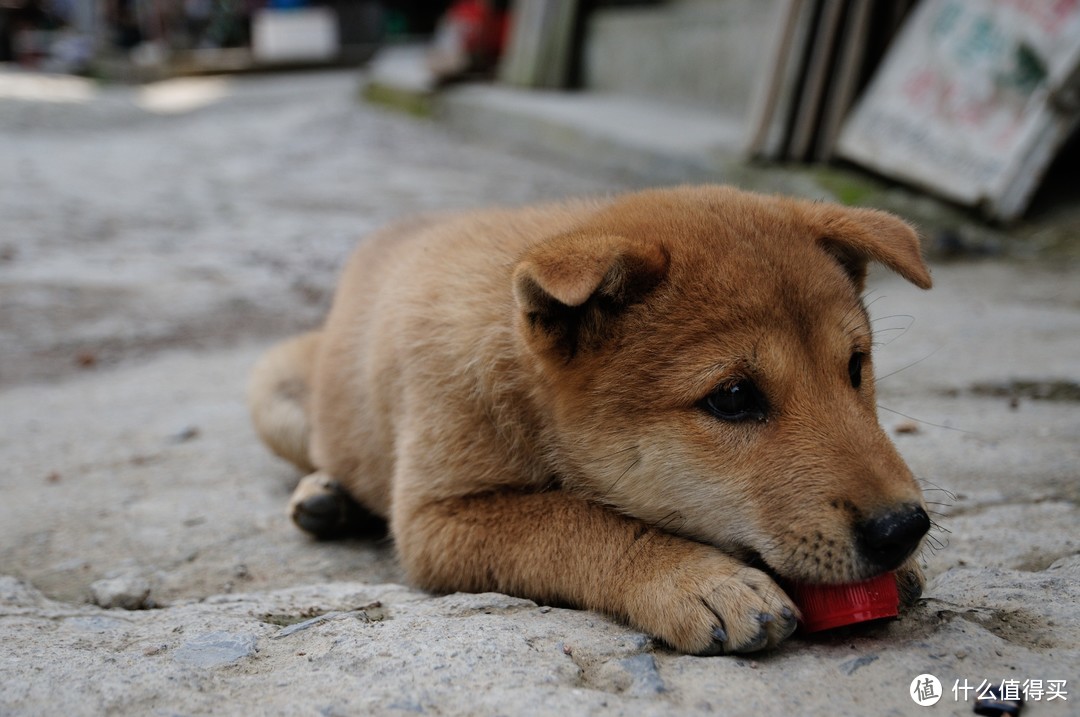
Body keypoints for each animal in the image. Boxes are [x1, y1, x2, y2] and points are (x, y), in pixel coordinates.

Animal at [248, 184, 933, 656]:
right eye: (734, 397)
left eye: (855, 367)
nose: (903, 529)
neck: (520, 376)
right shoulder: (435, 520)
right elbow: (577, 522)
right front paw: (697, 581)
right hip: (271, 392)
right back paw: (324, 492)